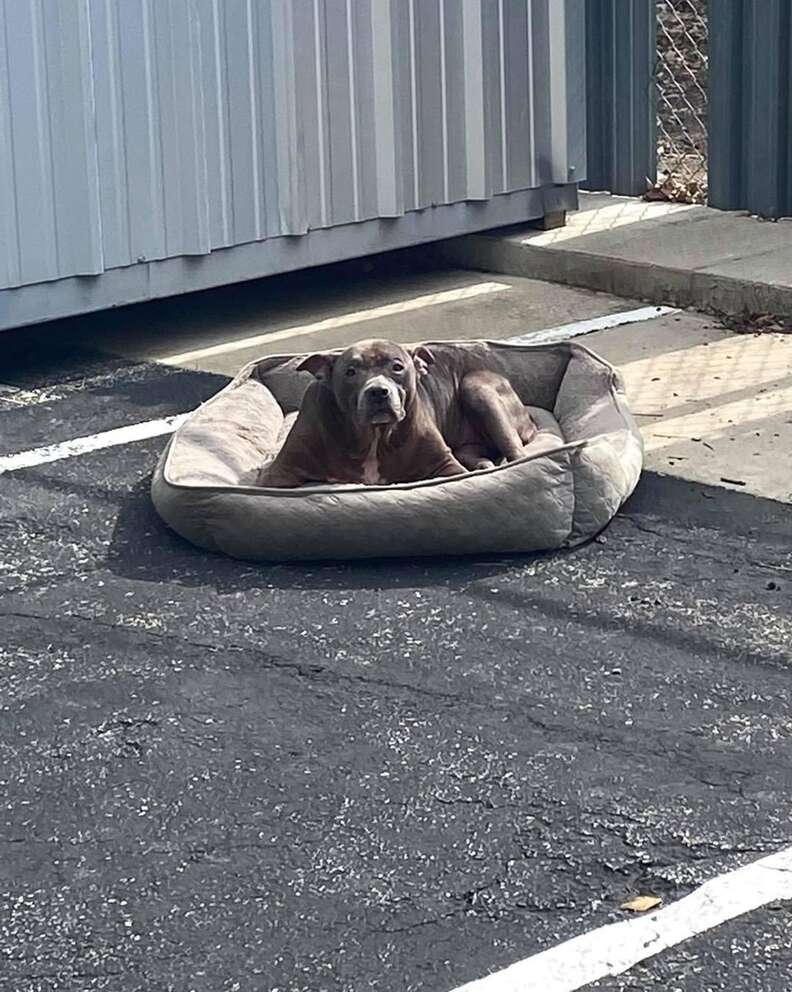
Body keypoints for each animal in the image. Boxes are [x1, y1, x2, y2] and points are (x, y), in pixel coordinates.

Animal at [256, 340, 536, 488]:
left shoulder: (447, 467)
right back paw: (483, 463)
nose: (378, 392)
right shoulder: (279, 472)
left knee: (517, 454)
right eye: (350, 371)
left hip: (476, 387)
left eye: (397, 367)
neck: (373, 437)